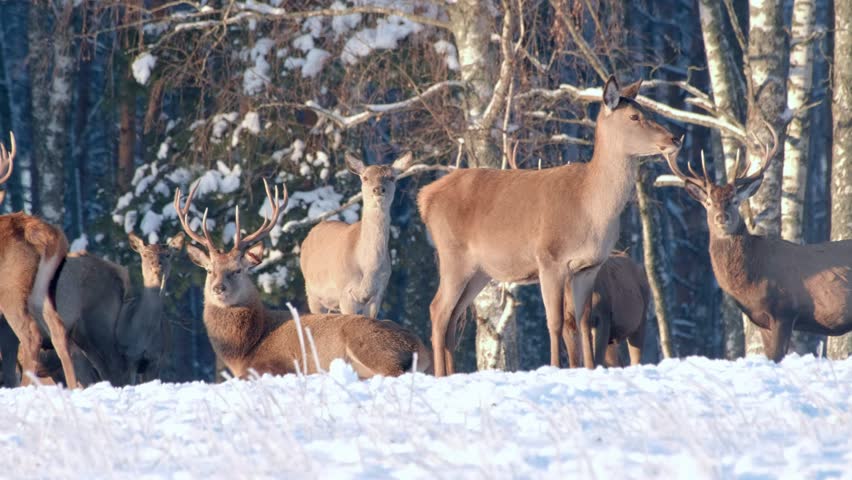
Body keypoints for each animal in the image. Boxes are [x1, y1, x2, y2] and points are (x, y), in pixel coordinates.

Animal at [175, 178, 432, 378]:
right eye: (210, 270)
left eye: (238, 270)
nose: (218, 288)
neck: (244, 349)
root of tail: (420, 348)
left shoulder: (273, 365)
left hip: (367, 343)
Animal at [300, 151, 414, 318]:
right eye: (365, 177)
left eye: (392, 177)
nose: (378, 189)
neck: (367, 269)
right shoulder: (345, 292)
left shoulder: (378, 293)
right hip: (312, 292)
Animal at [417, 76, 681, 376]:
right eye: (635, 116)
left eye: (646, 111)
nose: (674, 138)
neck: (592, 209)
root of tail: (425, 198)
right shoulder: (549, 259)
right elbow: (554, 322)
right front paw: (555, 366)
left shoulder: (589, 267)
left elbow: (582, 320)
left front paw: (589, 368)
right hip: (454, 255)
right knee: (437, 310)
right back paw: (441, 374)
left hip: (479, 271)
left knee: (453, 317)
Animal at [663, 123, 852, 361]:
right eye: (708, 202)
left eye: (735, 200)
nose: (722, 217)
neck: (752, 279)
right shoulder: (762, 321)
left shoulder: (784, 310)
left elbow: (776, 357)